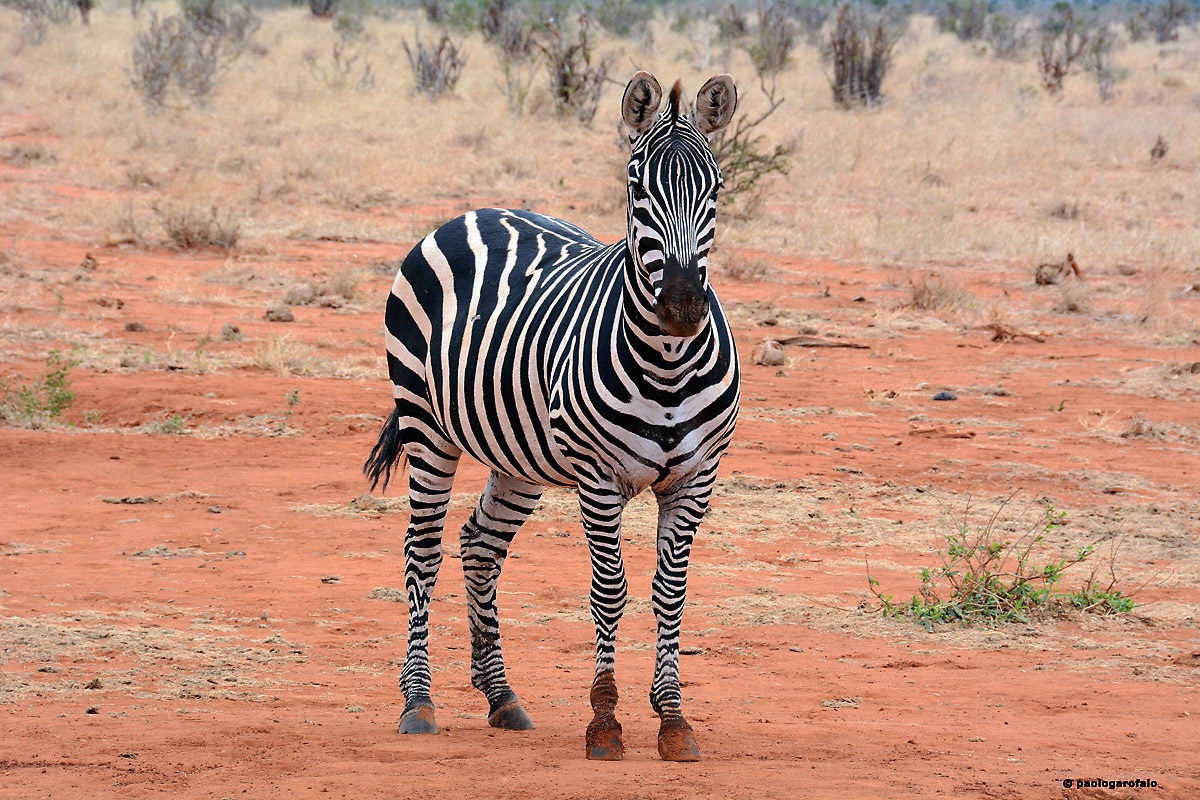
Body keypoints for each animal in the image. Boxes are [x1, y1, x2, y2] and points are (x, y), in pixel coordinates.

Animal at [364, 71, 740, 762]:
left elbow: (669, 595)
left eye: (716, 188)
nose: (680, 306)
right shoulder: (600, 478)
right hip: (426, 427)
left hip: (518, 454)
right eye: (636, 187)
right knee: (423, 551)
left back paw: (501, 696)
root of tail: (474, 212)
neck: (669, 362)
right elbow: (611, 592)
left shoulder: (696, 480)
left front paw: (673, 719)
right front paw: (605, 722)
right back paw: (418, 702)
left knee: (479, 544)